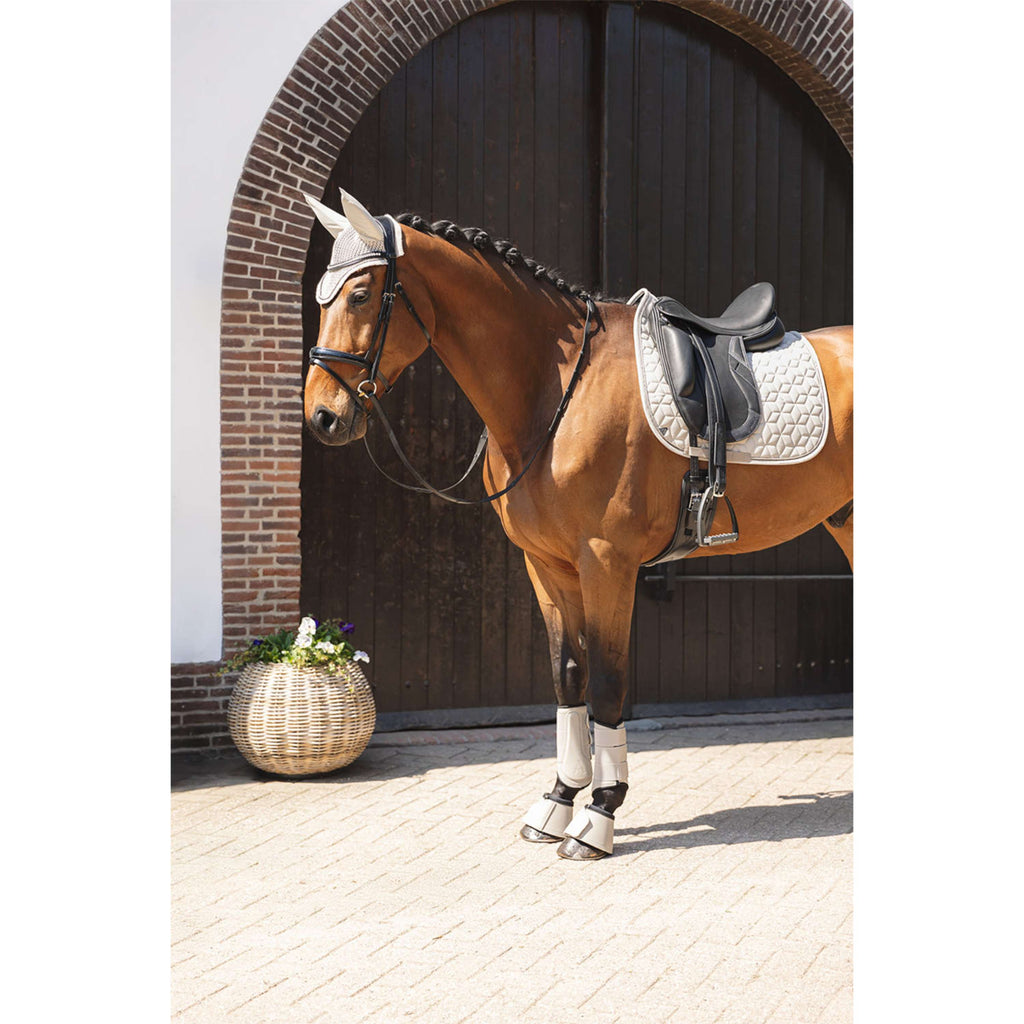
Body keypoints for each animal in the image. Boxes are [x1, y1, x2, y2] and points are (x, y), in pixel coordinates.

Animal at [301, 189, 853, 861]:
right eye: (321, 297)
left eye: (359, 295)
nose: (322, 416)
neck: (558, 390)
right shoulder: (546, 565)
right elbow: (568, 676)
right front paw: (558, 802)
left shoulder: (606, 562)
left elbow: (610, 684)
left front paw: (600, 816)